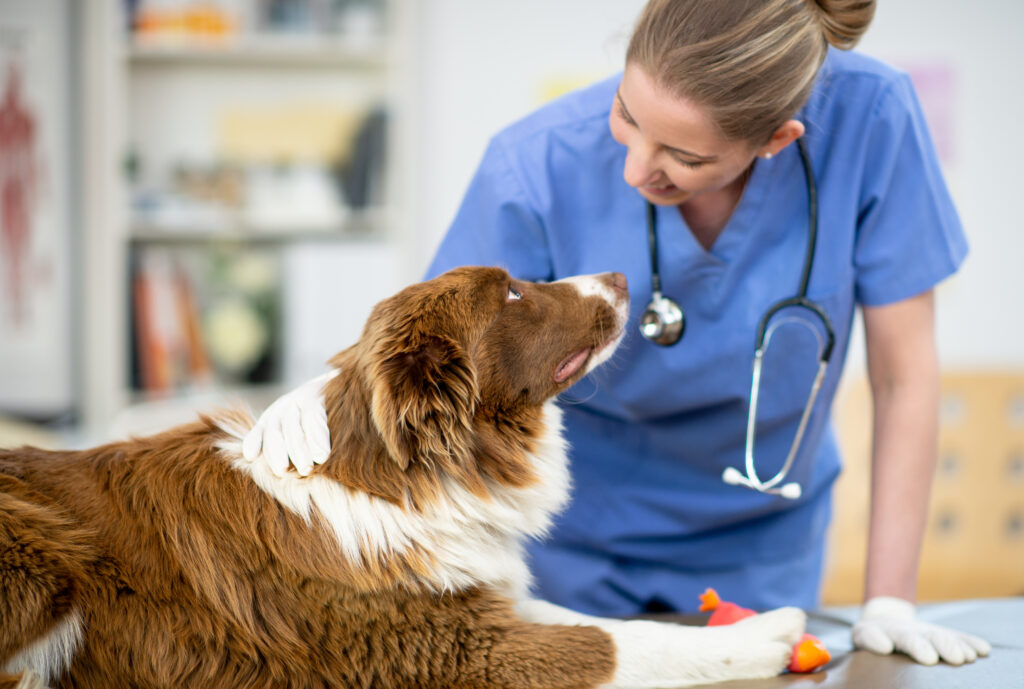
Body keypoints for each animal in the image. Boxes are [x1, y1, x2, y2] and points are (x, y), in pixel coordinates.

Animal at [0, 268, 802, 687]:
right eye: (513, 294)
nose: (621, 275)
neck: (407, 477)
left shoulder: (469, 598)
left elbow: (603, 621)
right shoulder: (443, 650)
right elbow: (613, 646)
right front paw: (767, 633)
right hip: (41, 556)